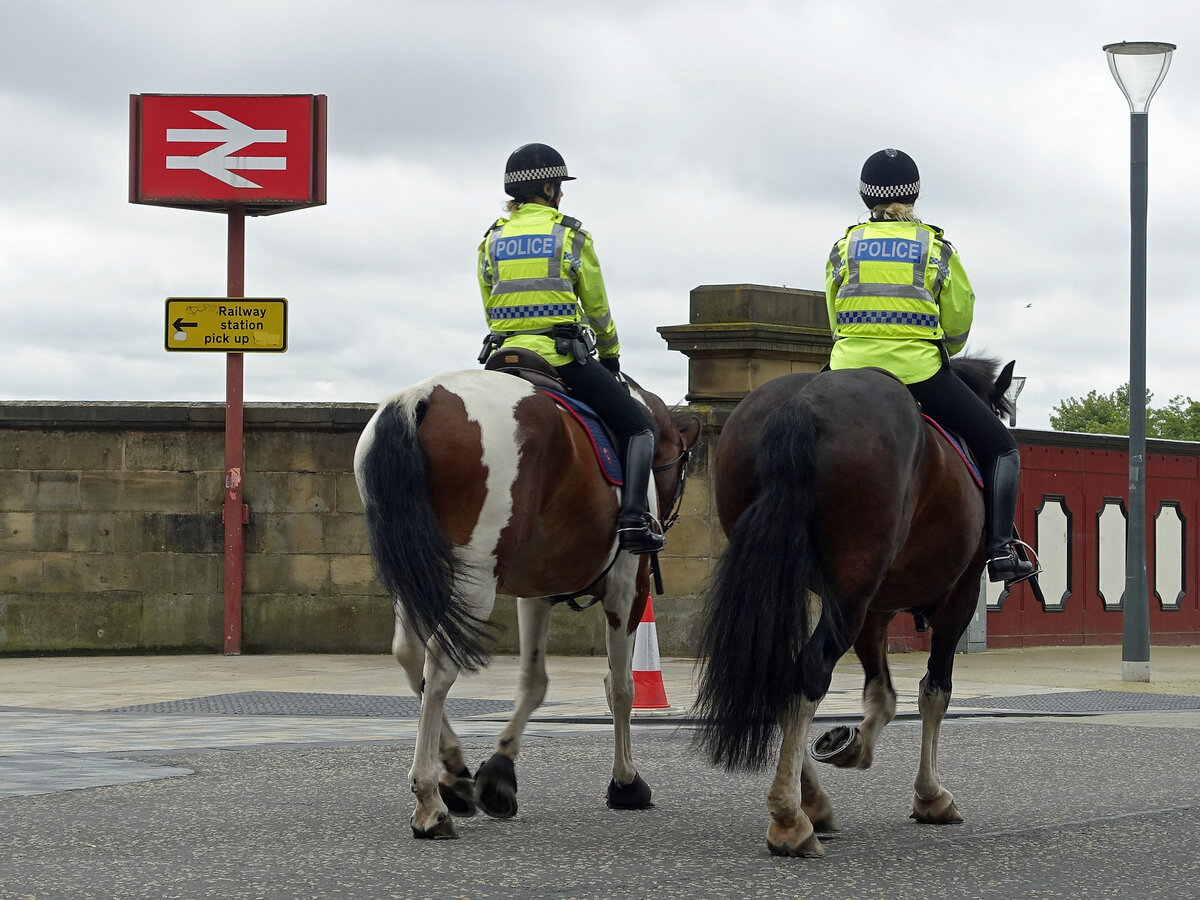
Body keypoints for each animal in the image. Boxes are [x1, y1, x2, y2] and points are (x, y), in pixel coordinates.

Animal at [350, 364, 700, 840]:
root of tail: (422, 397)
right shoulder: (629, 587)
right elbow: (621, 687)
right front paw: (625, 781)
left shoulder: (537, 591)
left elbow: (535, 682)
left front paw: (497, 775)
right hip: (476, 575)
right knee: (439, 666)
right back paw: (429, 801)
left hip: (418, 569)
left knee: (410, 656)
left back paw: (453, 770)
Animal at [696, 355, 1012, 854]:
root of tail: (802, 403)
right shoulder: (956, 598)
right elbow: (933, 692)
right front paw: (930, 796)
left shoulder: (875, 608)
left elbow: (883, 696)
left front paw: (855, 744)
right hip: (852, 593)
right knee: (809, 671)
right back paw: (790, 818)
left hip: (806, 587)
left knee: (782, 674)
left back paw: (812, 802)